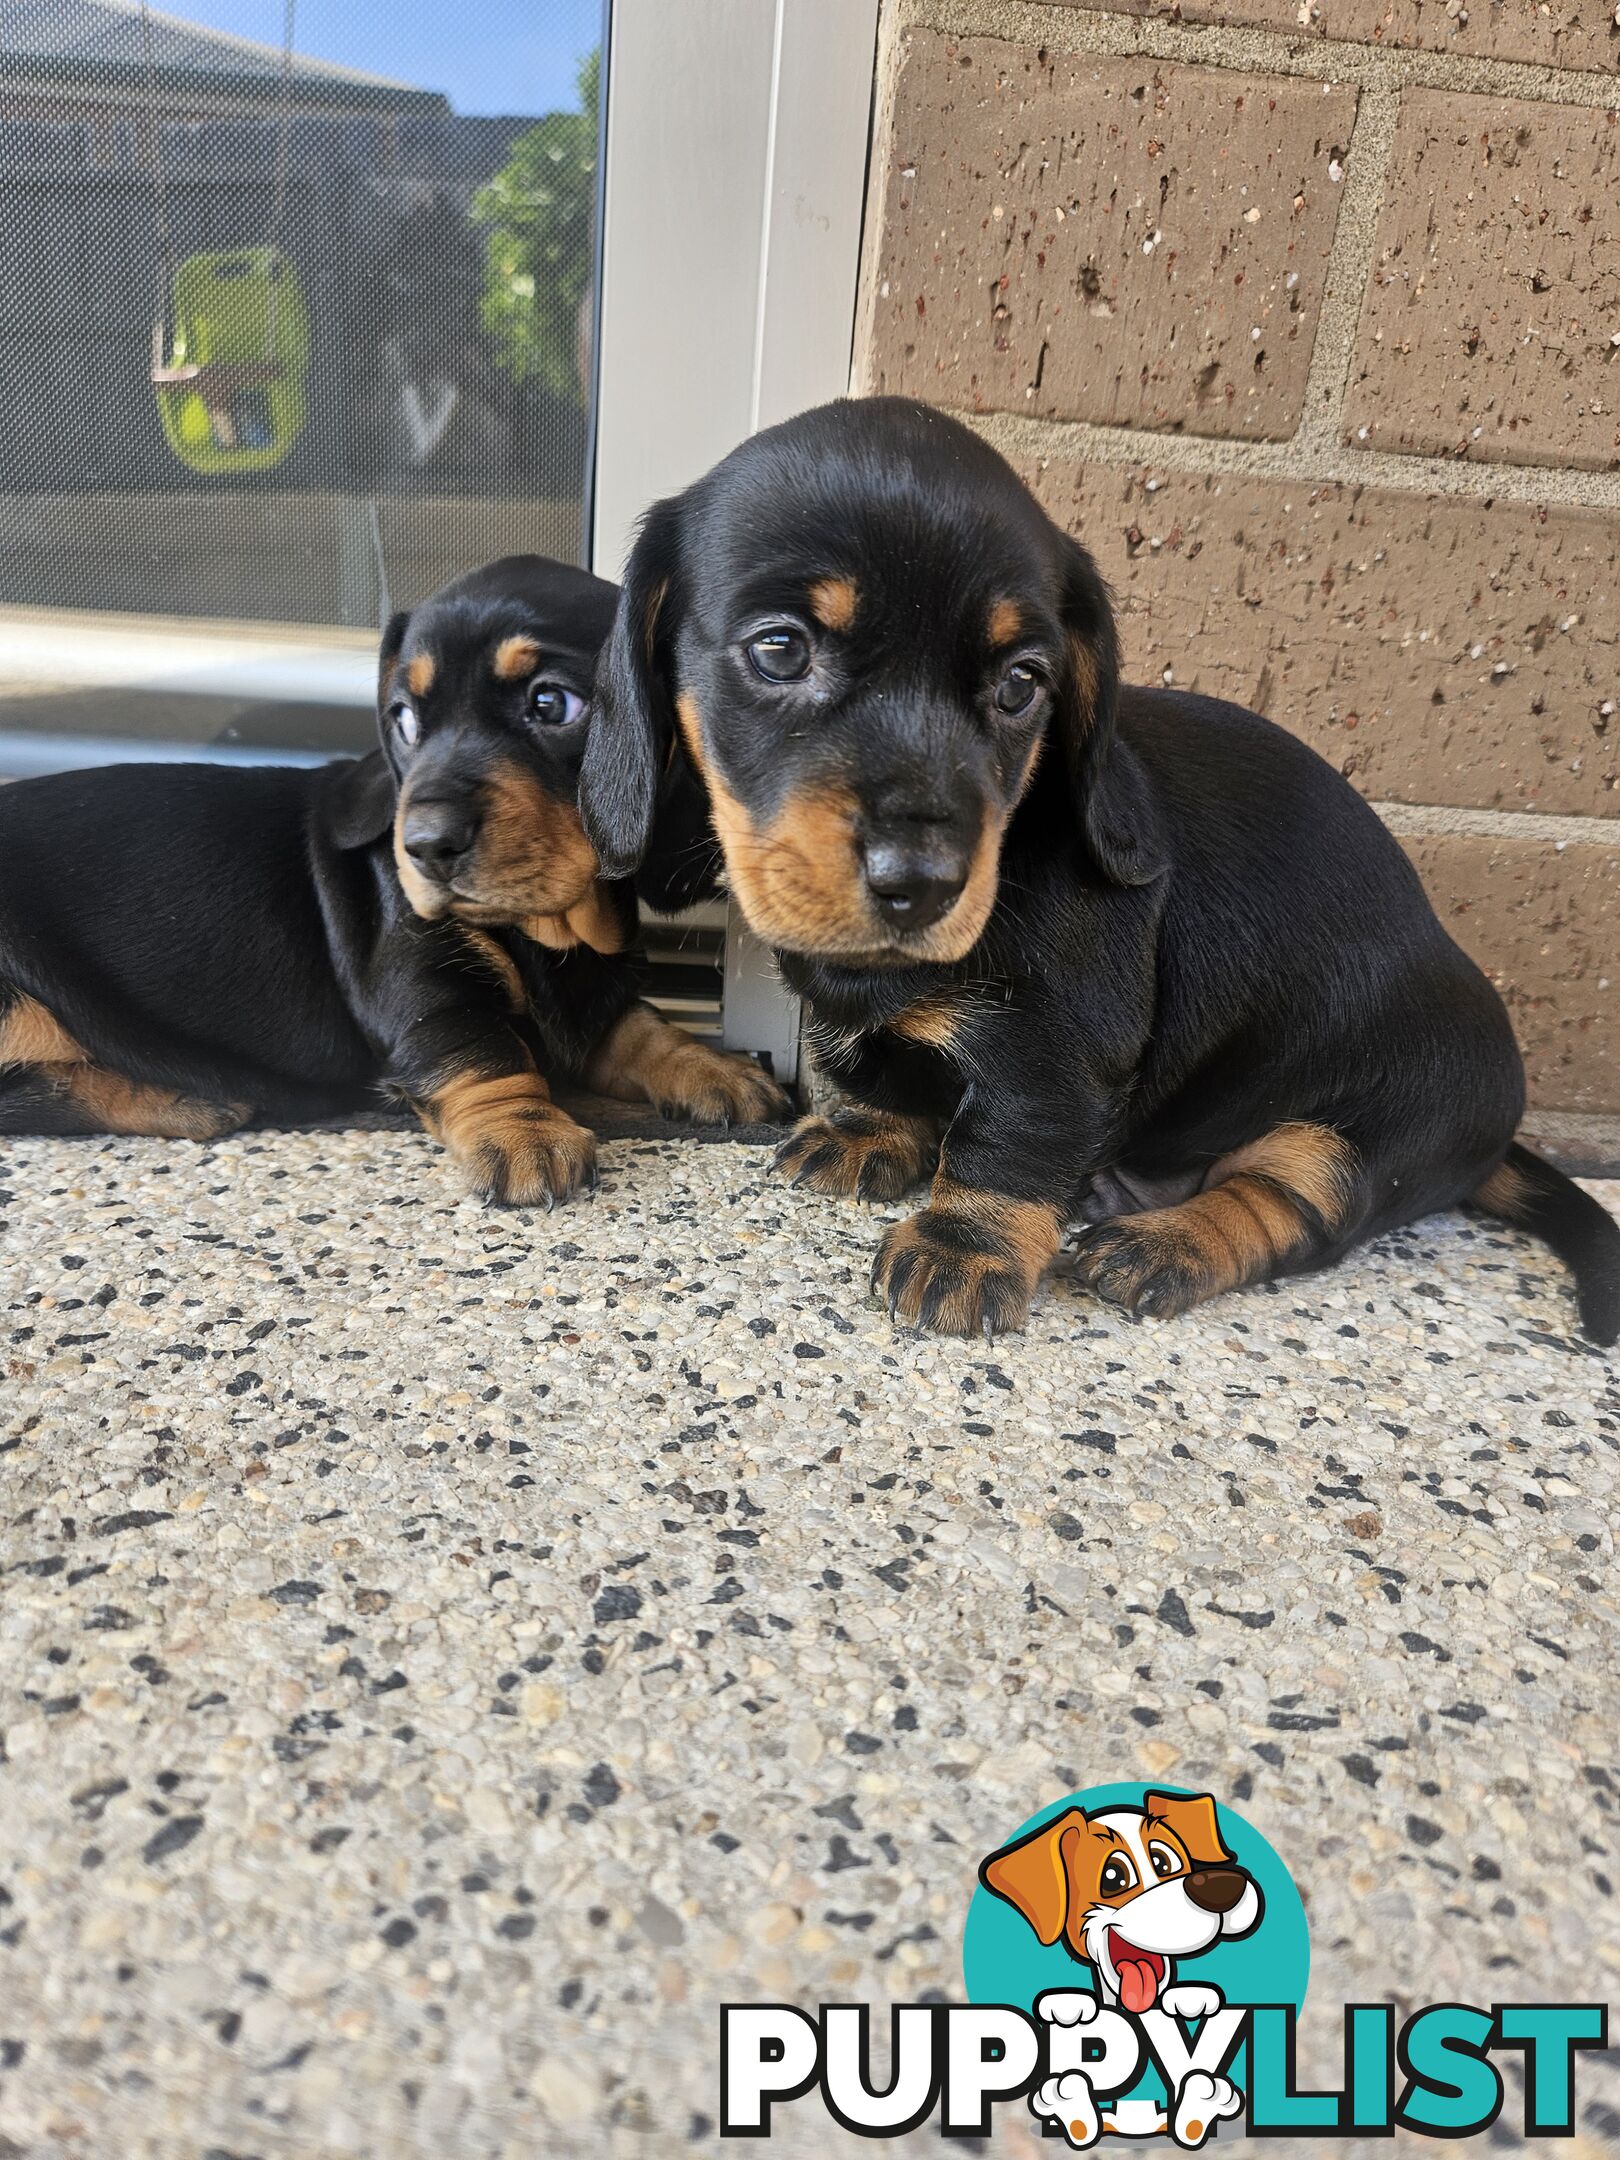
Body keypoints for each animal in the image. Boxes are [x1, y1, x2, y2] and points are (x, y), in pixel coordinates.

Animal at [0, 552, 786, 1200]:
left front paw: (713, 1068)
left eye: (552, 703)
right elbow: (484, 1051)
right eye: (402, 719)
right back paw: (182, 1097)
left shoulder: (597, 992)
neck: (549, 928)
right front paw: (525, 1132)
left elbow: (640, 1028)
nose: (425, 847)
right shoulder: (424, 993)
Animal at [583, 390, 1620, 1330]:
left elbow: (1009, 1144)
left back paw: (1164, 1246)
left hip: (1367, 1129)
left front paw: (965, 1248)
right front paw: (867, 1132)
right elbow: (881, 1076)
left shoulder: (1058, 1047)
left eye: (1020, 684)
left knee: (1291, 1204)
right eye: (780, 649)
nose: (924, 884)